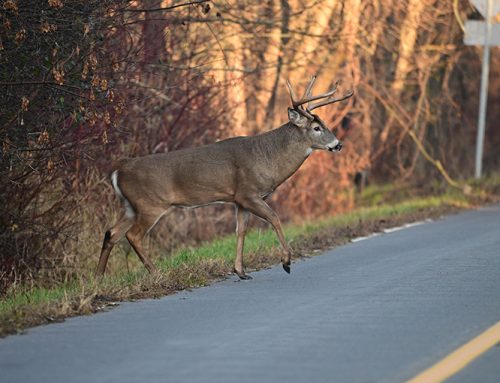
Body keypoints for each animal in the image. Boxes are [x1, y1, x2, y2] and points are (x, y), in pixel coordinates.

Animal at [97, 74, 354, 280]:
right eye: (316, 128)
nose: (338, 144)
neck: (268, 157)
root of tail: (119, 169)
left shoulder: (238, 200)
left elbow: (241, 231)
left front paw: (241, 271)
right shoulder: (248, 193)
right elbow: (274, 218)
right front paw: (286, 262)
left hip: (131, 206)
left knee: (111, 233)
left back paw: (99, 279)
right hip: (151, 204)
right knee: (133, 235)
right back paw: (156, 273)